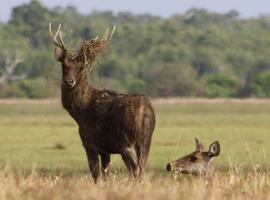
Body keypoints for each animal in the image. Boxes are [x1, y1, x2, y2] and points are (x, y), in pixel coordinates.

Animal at [48, 23, 156, 183]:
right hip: (146, 140)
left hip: (126, 142)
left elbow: (96, 175)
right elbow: (106, 175)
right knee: (142, 169)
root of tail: (144, 110)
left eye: (81, 67)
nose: (69, 81)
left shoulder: (90, 143)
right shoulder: (106, 150)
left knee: (135, 170)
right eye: (64, 65)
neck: (80, 113)